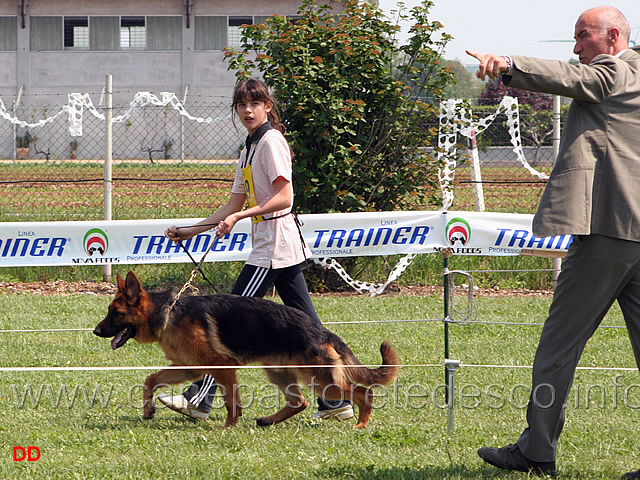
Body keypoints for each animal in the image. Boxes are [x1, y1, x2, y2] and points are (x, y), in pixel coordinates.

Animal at [94, 272, 400, 430]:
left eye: (116, 313)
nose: (96, 331)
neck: (167, 312)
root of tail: (323, 332)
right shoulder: (190, 368)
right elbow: (150, 380)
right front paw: (148, 410)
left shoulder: (221, 367)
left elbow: (232, 401)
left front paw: (229, 427)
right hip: (279, 373)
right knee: (298, 402)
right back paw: (268, 420)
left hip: (320, 380)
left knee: (363, 393)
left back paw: (360, 425)